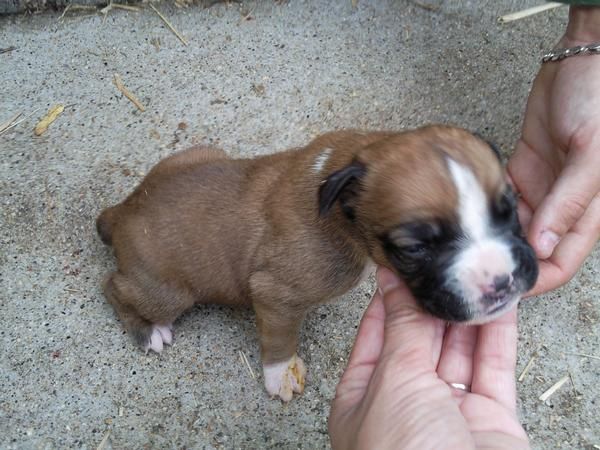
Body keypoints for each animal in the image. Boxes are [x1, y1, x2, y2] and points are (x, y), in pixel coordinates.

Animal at [97, 125, 540, 400]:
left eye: (509, 209)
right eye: (414, 248)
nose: (502, 281)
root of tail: (124, 211)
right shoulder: (275, 294)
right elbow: (279, 340)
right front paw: (279, 376)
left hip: (200, 154)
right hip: (168, 293)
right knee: (114, 287)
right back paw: (147, 332)